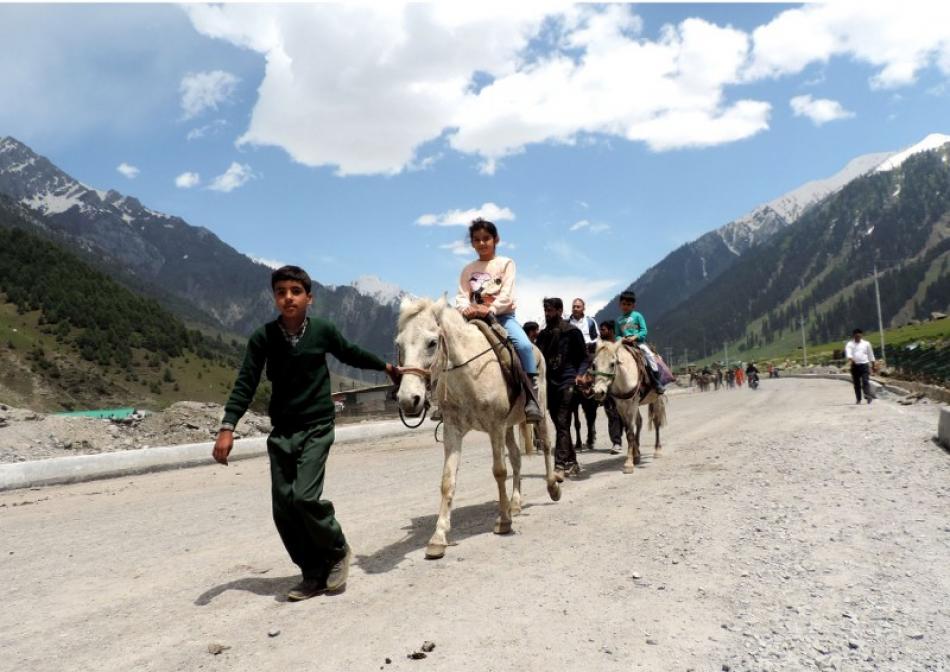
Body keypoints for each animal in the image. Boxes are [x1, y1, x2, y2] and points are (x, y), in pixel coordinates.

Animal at [396, 296, 560, 560]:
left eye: (432, 343)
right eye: (399, 344)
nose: (408, 400)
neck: (469, 373)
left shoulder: (495, 426)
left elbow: (499, 472)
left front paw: (503, 522)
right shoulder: (453, 430)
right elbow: (448, 480)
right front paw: (438, 537)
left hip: (540, 413)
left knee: (545, 445)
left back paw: (553, 486)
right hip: (509, 427)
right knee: (516, 459)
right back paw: (515, 503)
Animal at [588, 342, 668, 472]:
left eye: (612, 364)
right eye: (594, 365)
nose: (599, 392)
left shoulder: (632, 403)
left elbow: (630, 433)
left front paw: (628, 464)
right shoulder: (621, 406)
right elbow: (628, 430)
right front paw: (635, 456)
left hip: (656, 398)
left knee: (656, 421)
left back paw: (657, 450)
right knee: (639, 422)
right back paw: (638, 451)